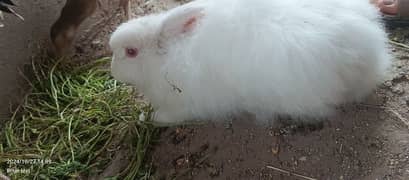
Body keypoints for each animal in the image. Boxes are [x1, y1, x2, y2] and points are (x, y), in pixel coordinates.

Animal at [108, 0, 388, 124]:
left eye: (130, 52)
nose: (112, 71)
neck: (165, 58)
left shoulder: (186, 104)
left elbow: (167, 116)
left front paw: (150, 118)